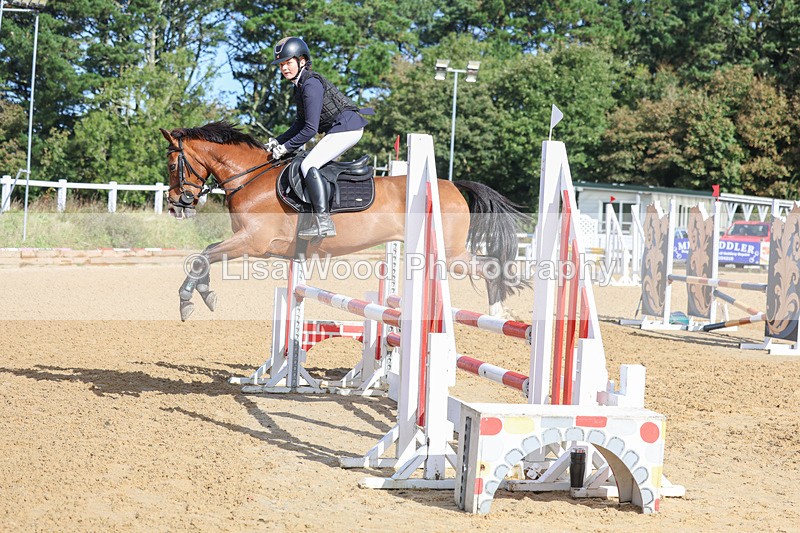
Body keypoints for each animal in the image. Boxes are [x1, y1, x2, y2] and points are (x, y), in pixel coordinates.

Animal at [160, 122, 526, 321]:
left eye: (173, 164)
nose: (177, 204)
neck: (251, 178)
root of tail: (450, 185)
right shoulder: (255, 244)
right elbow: (207, 253)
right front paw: (204, 292)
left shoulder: (254, 242)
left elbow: (201, 256)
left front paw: (188, 299)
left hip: (450, 255)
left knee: (491, 267)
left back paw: (498, 313)